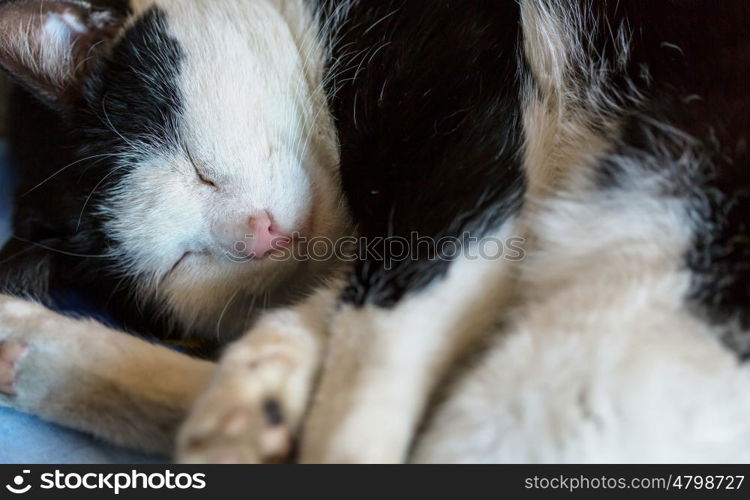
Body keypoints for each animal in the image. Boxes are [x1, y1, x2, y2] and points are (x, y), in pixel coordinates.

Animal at [1, 0, 750, 464]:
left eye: (199, 172)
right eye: (182, 263)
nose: (262, 236)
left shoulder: (465, 156)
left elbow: (380, 324)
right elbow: (334, 312)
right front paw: (260, 383)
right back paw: (33, 349)